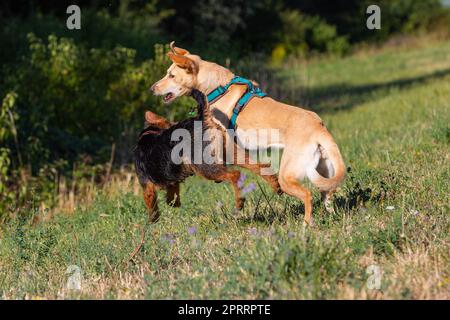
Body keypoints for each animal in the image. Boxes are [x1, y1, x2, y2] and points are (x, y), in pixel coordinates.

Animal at [150, 41, 344, 224]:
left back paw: (305, 226)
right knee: (327, 196)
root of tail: (319, 127)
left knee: (307, 195)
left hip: (289, 174)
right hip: (324, 171)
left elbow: (248, 165)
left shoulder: (229, 145)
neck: (217, 88)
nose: (151, 89)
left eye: (171, 75)